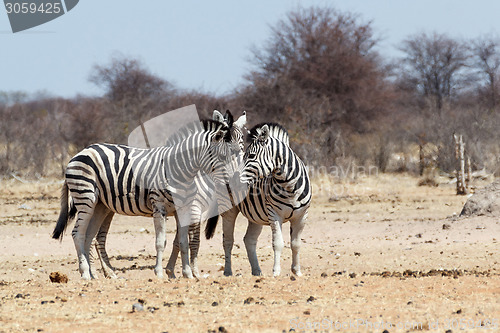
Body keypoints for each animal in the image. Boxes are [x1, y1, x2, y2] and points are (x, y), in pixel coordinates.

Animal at [51, 116, 240, 278]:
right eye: (224, 156)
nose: (233, 181)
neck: (181, 171)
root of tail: (79, 153)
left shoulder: (183, 209)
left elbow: (182, 242)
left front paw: (187, 274)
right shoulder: (160, 207)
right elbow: (161, 241)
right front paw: (159, 273)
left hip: (100, 205)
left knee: (89, 236)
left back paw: (95, 274)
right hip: (86, 197)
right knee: (78, 233)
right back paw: (85, 273)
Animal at [217, 123, 310, 276]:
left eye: (251, 156)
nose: (235, 181)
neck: (289, 186)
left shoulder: (302, 216)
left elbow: (296, 244)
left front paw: (297, 271)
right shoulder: (274, 214)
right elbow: (278, 243)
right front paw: (276, 272)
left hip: (256, 215)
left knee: (249, 240)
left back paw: (256, 271)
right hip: (228, 210)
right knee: (228, 241)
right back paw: (228, 272)